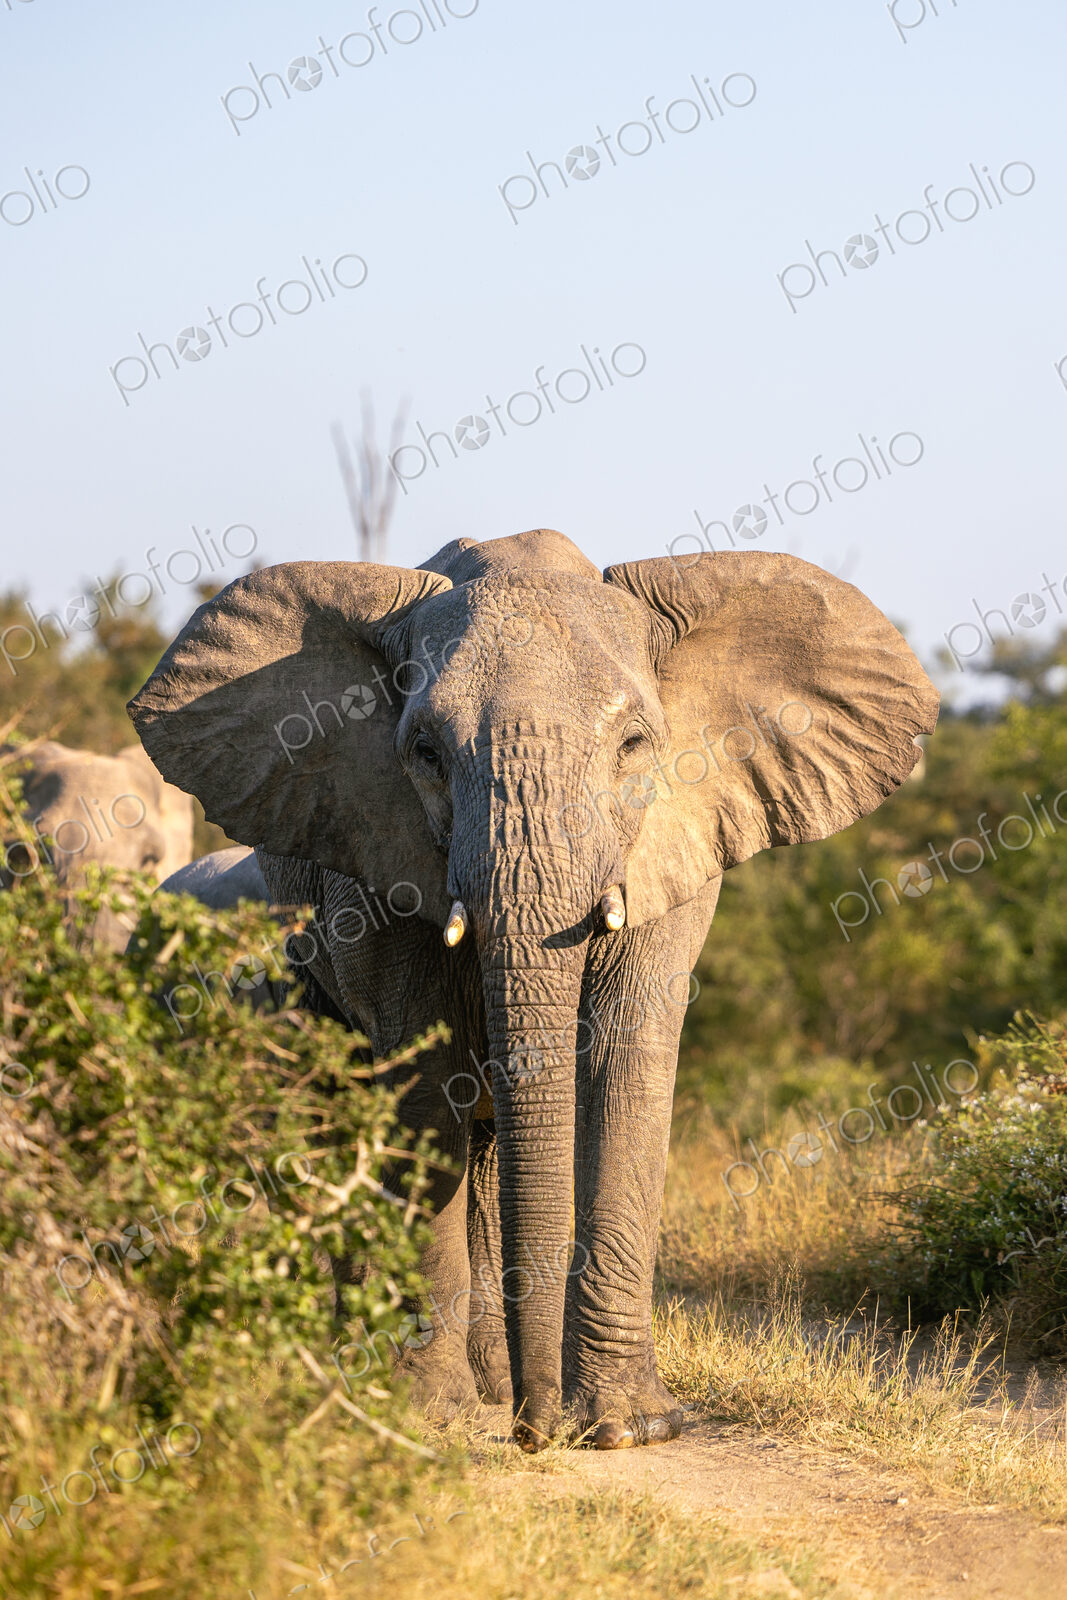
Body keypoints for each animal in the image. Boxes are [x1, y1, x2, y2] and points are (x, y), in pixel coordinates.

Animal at [126, 527, 939, 1451]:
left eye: (634, 747)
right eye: (426, 753)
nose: (534, 1432)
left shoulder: (673, 840)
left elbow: (624, 1064)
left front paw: (627, 1427)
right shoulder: (371, 849)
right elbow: (423, 1078)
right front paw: (430, 1416)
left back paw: (487, 1380)